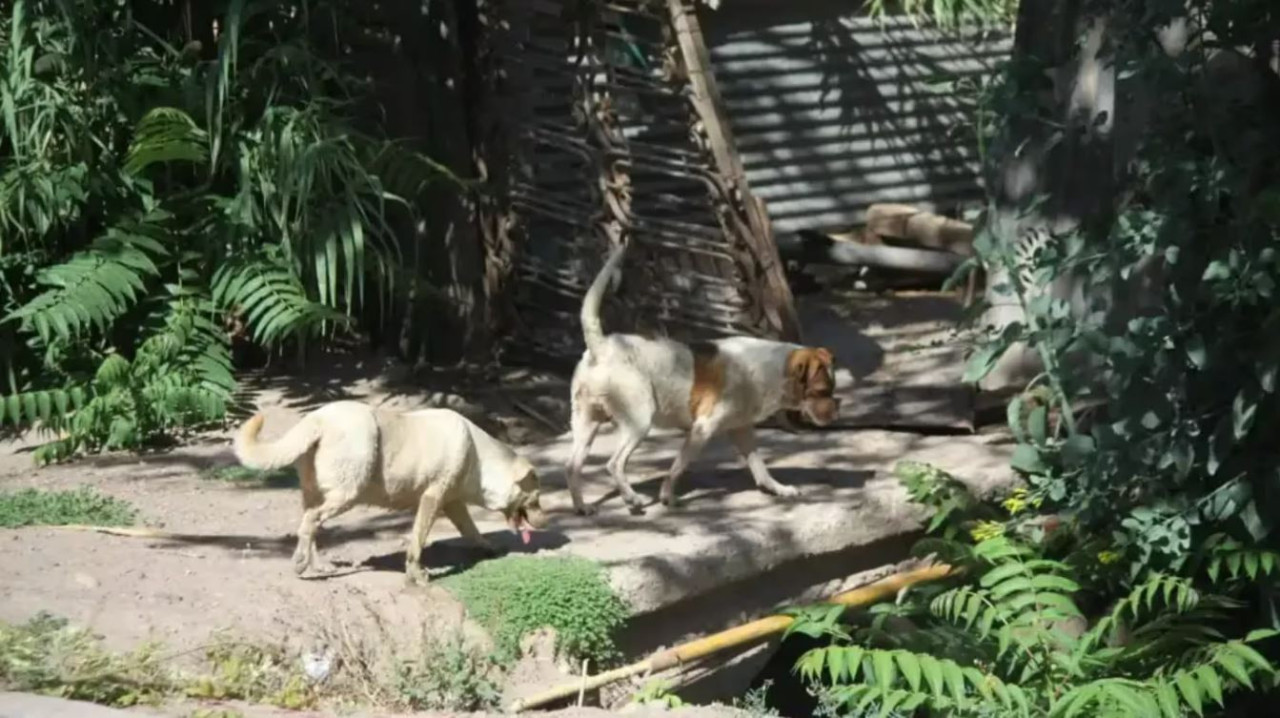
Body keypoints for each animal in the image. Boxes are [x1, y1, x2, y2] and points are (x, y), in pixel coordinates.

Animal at [235, 399, 545, 586]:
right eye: (537, 498)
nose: (545, 523)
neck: (480, 460)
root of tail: (318, 418)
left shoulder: (453, 503)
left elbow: (472, 531)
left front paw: (489, 548)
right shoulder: (432, 499)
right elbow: (417, 542)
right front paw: (416, 574)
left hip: (317, 494)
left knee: (308, 525)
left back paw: (318, 566)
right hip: (348, 491)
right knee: (311, 521)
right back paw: (300, 564)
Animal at [568, 240, 844, 509]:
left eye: (833, 390)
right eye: (821, 391)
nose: (835, 415)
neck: (772, 370)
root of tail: (602, 346)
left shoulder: (741, 430)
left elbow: (760, 468)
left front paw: (779, 489)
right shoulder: (702, 429)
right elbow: (678, 467)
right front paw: (667, 497)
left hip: (587, 423)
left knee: (572, 466)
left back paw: (582, 507)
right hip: (639, 420)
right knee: (613, 463)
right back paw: (631, 498)